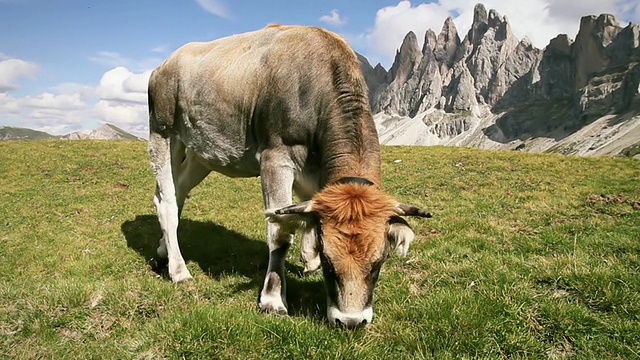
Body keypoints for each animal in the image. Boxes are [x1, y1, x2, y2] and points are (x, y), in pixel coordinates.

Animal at [148, 24, 432, 330]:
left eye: (379, 261)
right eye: (330, 263)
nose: (351, 321)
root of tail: (165, 64)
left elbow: (307, 214)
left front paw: (308, 260)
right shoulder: (276, 158)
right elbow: (281, 232)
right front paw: (273, 299)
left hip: (202, 153)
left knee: (177, 193)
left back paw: (163, 250)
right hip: (163, 131)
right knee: (166, 201)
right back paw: (179, 270)